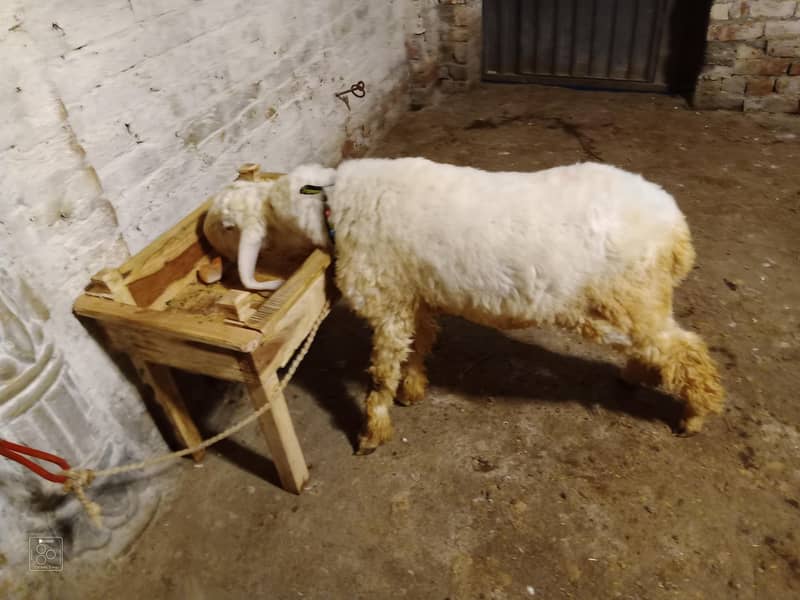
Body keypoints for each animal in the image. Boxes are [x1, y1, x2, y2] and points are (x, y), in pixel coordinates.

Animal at [203, 157, 725, 455]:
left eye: (226, 227)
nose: (212, 265)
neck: (329, 205)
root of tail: (677, 230)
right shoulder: (414, 293)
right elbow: (419, 342)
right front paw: (413, 389)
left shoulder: (387, 298)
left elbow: (381, 369)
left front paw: (373, 431)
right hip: (633, 303)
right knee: (660, 347)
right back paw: (638, 377)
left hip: (633, 295)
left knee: (686, 351)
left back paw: (695, 416)